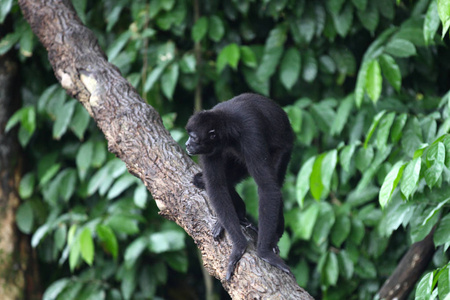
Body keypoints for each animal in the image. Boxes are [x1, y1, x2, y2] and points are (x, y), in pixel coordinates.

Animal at [185, 92, 294, 280]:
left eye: (193, 138)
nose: (187, 144)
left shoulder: (251, 135)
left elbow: (267, 188)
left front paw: (264, 252)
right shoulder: (211, 150)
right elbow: (216, 186)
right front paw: (239, 246)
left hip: (284, 149)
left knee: (275, 185)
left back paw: (274, 237)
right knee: (217, 181)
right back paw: (238, 215)